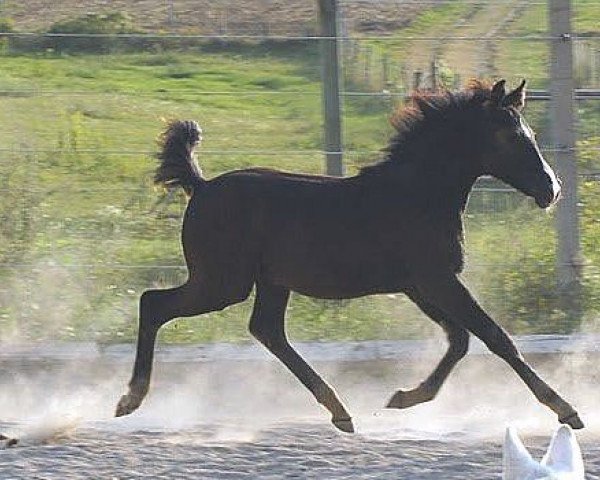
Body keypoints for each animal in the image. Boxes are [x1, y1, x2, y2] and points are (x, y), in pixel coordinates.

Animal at [115, 79, 584, 432]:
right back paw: (130, 398)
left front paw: (405, 397)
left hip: (269, 281)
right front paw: (565, 409)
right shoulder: (436, 279)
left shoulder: (419, 285)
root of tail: (201, 185)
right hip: (222, 282)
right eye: (511, 136)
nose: (552, 189)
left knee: (267, 330)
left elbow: (460, 339)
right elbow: (494, 336)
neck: (418, 194)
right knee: (153, 304)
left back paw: (339, 410)